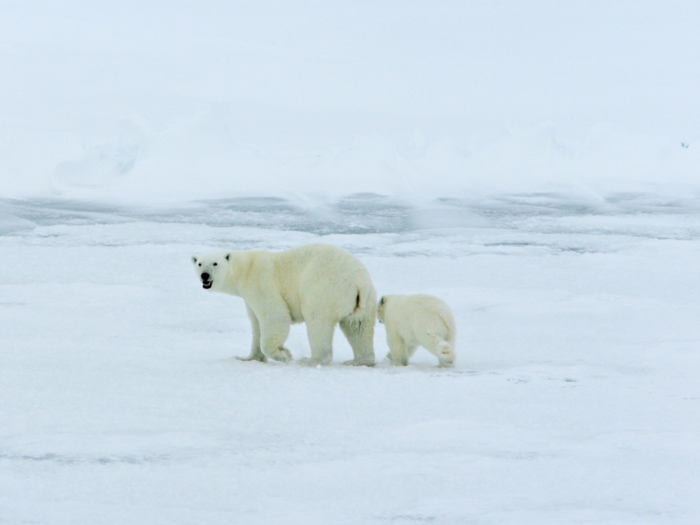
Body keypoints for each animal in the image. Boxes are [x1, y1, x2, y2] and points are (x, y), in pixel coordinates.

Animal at [191, 245, 378, 364]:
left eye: (215, 263)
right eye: (199, 263)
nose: (205, 275)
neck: (246, 269)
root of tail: (359, 282)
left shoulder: (261, 283)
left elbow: (275, 316)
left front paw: (284, 354)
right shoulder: (249, 298)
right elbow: (256, 324)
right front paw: (248, 357)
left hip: (324, 288)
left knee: (318, 322)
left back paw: (310, 360)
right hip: (364, 300)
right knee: (358, 327)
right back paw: (358, 361)